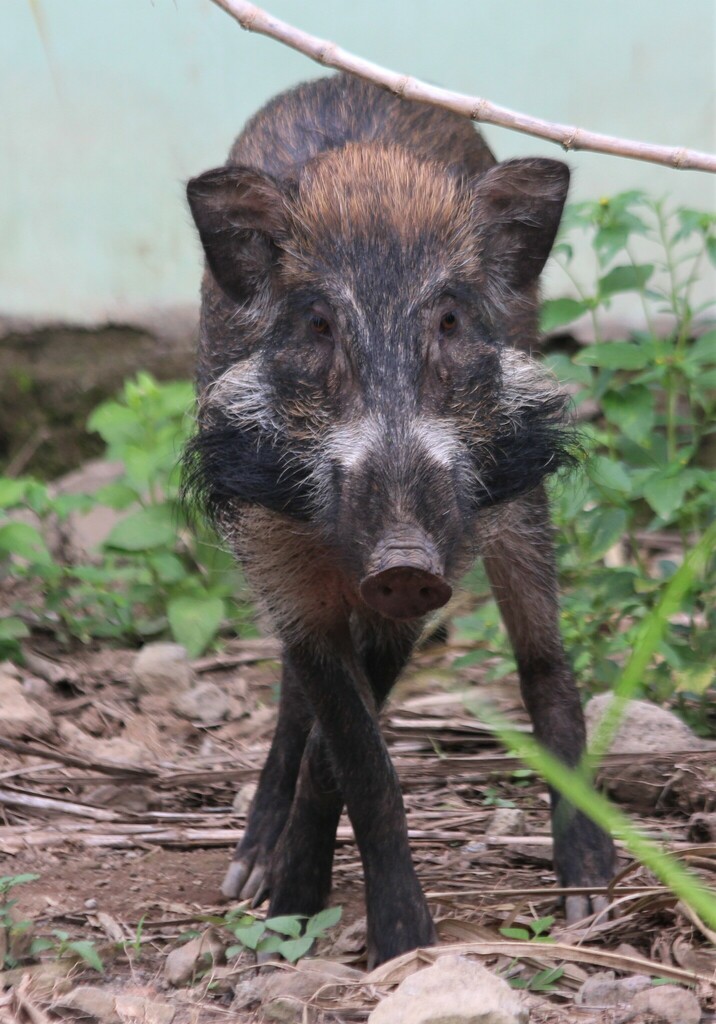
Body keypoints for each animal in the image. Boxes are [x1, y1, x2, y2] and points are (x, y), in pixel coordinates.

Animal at [183, 72, 615, 967]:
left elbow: (343, 751)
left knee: (546, 662)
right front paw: (306, 917)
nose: (404, 559)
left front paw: (385, 944)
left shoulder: (433, 577)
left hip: (518, 509)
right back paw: (245, 875)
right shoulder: (280, 564)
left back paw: (590, 897)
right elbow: (353, 748)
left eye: (448, 320)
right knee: (290, 698)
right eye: (318, 323)